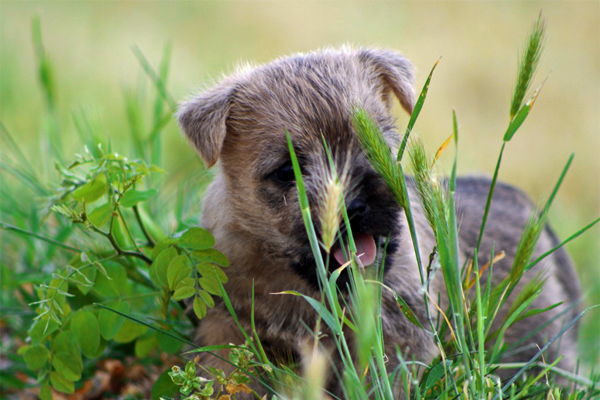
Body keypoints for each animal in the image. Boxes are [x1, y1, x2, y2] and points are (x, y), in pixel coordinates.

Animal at [178, 47, 580, 396]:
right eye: (287, 171)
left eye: (374, 148)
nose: (353, 207)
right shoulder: (228, 326)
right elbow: (225, 375)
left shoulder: (397, 336)